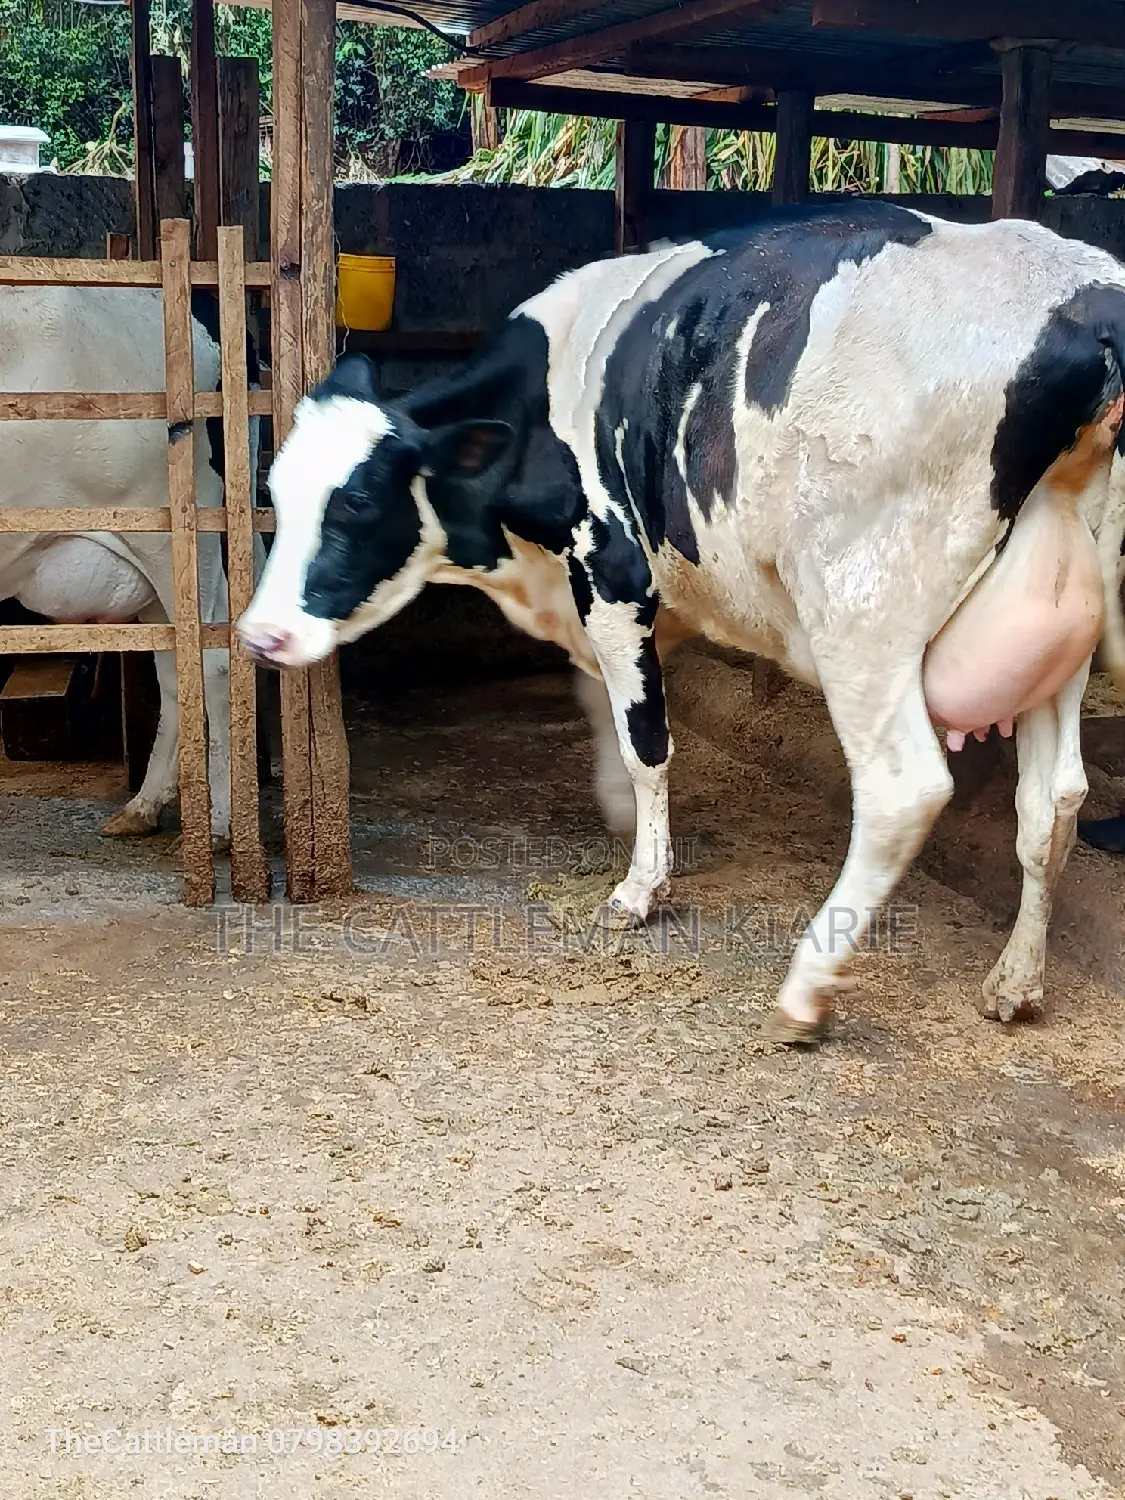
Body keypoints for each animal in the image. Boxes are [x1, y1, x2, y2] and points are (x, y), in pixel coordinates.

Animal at [238, 202, 1125, 1043]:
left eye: (355, 502)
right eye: (274, 489)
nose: (259, 635)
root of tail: (1082, 293)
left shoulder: (611, 573)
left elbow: (647, 741)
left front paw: (639, 888)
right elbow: (608, 712)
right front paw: (628, 824)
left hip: (859, 609)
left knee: (901, 790)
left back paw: (805, 990)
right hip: (1056, 625)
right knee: (1052, 801)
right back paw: (1014, 982)